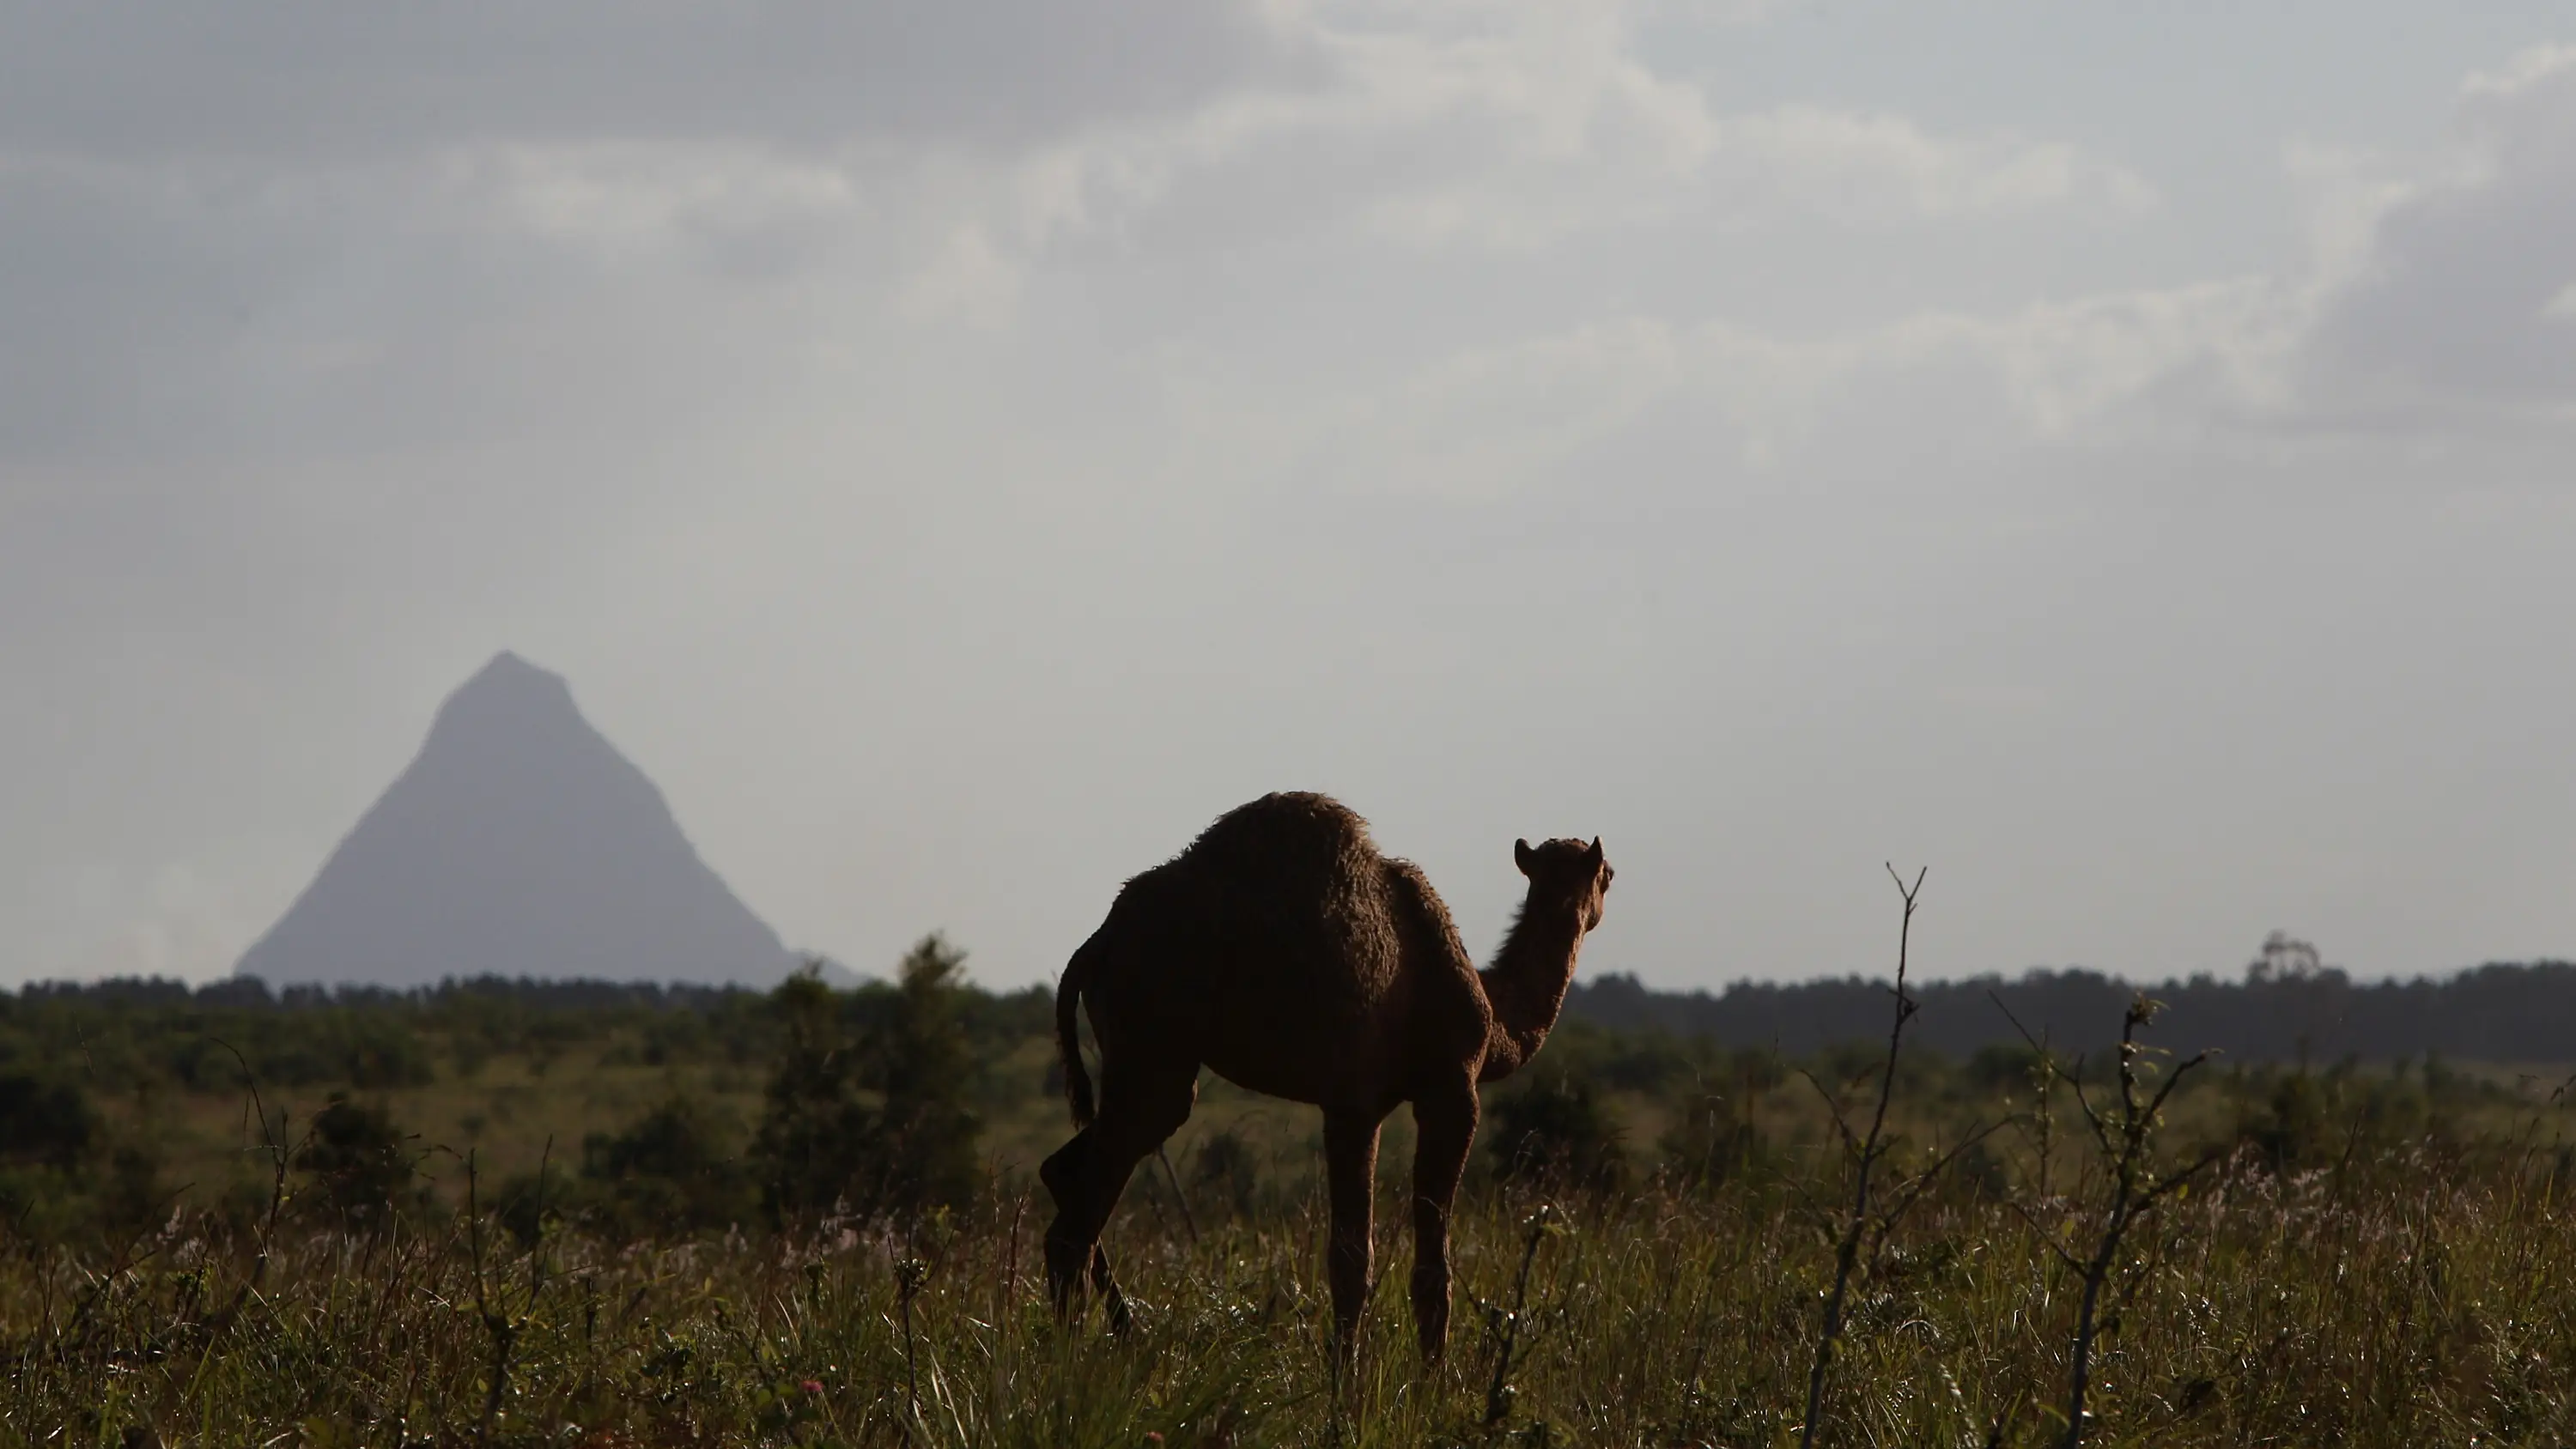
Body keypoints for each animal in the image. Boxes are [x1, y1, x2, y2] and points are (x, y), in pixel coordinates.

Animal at [1040, 791, 1612, 1363]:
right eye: (1608, 874)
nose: (1605, 889)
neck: (1495, 1023)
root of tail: (1095, 946)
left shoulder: (1351, 1103)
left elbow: (1351, 1258)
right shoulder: (1438, 1092)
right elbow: (1399, 1263)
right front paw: (1409, 1382)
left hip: (1148, 1067)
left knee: (1062, 1174)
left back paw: (1120, 1338)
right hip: (1152, 1055)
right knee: (1075, 1225)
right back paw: (1074, 1363)